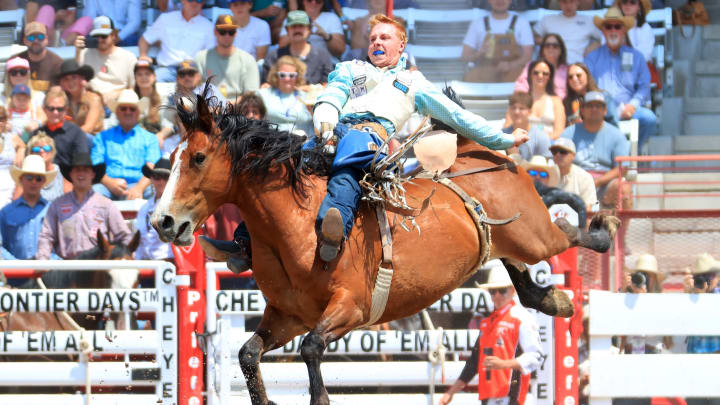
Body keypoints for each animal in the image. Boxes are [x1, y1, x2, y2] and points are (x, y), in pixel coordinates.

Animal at [153, 86, 620, 404]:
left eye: (197, 158)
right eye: (172, 158)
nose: (163, 221)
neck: (298, 225)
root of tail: (477, 153)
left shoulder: (350, 309)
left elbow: (312, 350)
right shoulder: (289, 315)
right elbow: (249, 354)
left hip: (535, 236)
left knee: (567, 232)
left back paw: (604, 225)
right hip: (498, 243)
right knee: (519, 273)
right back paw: (553, 299)